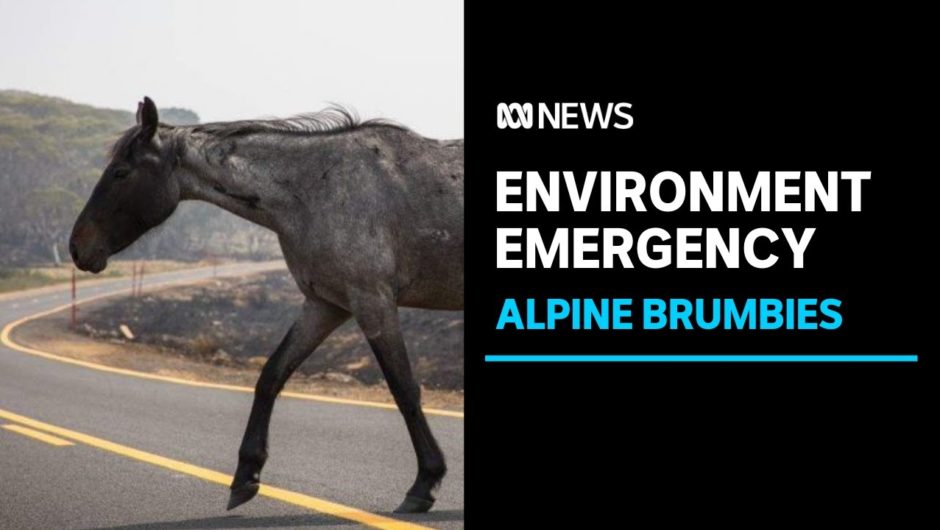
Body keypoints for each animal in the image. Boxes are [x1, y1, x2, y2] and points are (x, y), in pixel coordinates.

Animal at [68, 96, 464, 512]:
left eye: (121, 172)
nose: (78, 247)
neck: (318, 189)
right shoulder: (325, 306)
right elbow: (271, 375)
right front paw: (246, 474)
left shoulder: (373, 302)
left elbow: (404, 389)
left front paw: (426, 482)